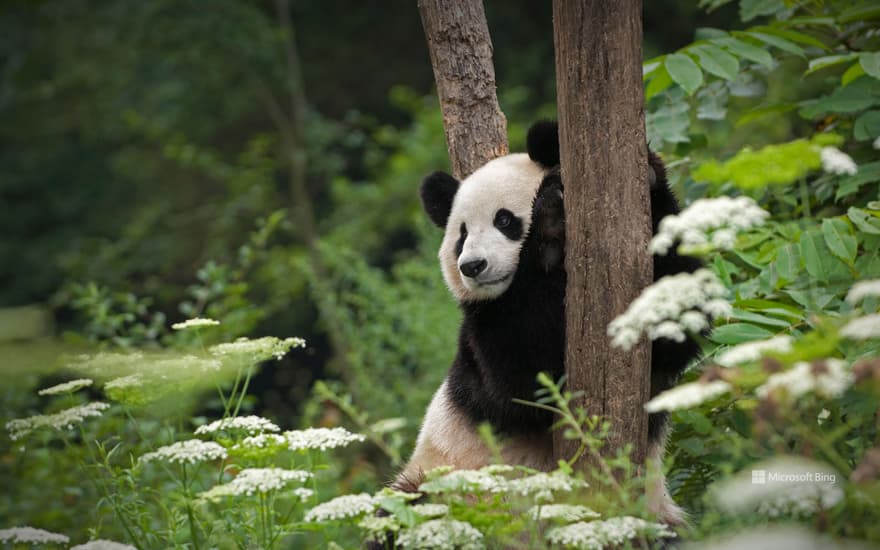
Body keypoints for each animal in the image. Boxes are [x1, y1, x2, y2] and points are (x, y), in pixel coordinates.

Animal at [394, 121, 700, 528]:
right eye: (461, 235)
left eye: (504, 220)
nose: (472, 266)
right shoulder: (481, 339)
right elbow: (525, 382)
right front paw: (551, 225)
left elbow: (676, 327)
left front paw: (649, 178)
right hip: (438, 482)